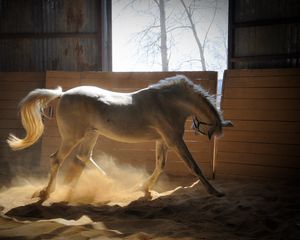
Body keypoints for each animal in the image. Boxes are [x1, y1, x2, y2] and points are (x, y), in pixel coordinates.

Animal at [6, 74, 232, 202]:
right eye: (212, 131)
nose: (202, 134)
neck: (167, 103)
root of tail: (63, 95)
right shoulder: (174, 140)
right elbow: (194, 166)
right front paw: (215, 192)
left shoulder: (162, 141)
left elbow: (160, 165)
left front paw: (145, 189)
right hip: (72, 137)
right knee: (57, 160)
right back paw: (46, 192)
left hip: (91, 134)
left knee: (83, 158)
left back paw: (99, 185)